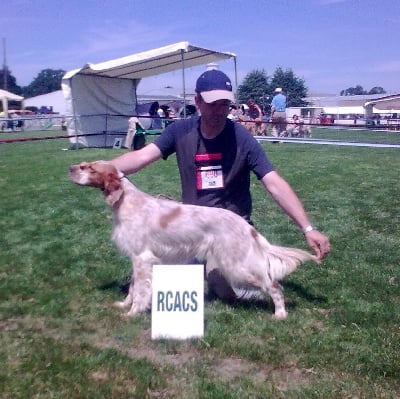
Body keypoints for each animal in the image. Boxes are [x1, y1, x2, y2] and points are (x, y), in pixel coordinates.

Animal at [69, 161, 318, 320]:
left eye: (88, 168)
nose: (69, 168)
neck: (126, 201)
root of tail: (246, 227)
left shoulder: (142, 258)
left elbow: (140, 290)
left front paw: (133, 313)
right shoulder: (137, 259)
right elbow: (133, 287)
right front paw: (124, 305)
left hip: (237, 265)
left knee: (274, 285)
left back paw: (280, 314)